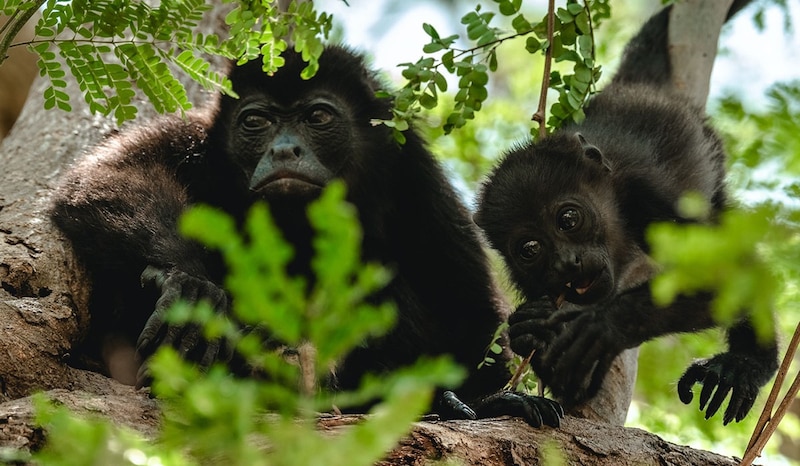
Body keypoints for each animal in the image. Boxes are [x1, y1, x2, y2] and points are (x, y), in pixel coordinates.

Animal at [51, 46, 564, 426]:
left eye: (317, 117)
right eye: (256, 122)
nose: (284, 149)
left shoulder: (417, 175)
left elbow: (467, 306)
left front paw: (486, 400)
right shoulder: (194, 137)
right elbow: (107, 177)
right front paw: (191, 285)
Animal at [476, 0, 776, 426]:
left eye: (569, 219)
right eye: (530, 249)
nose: (567, 263)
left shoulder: (644, 202)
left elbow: (724, 271)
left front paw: (606, 324)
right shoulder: (530, 282)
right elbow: (574, 388)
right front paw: (527, 331)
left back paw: (746, 363)